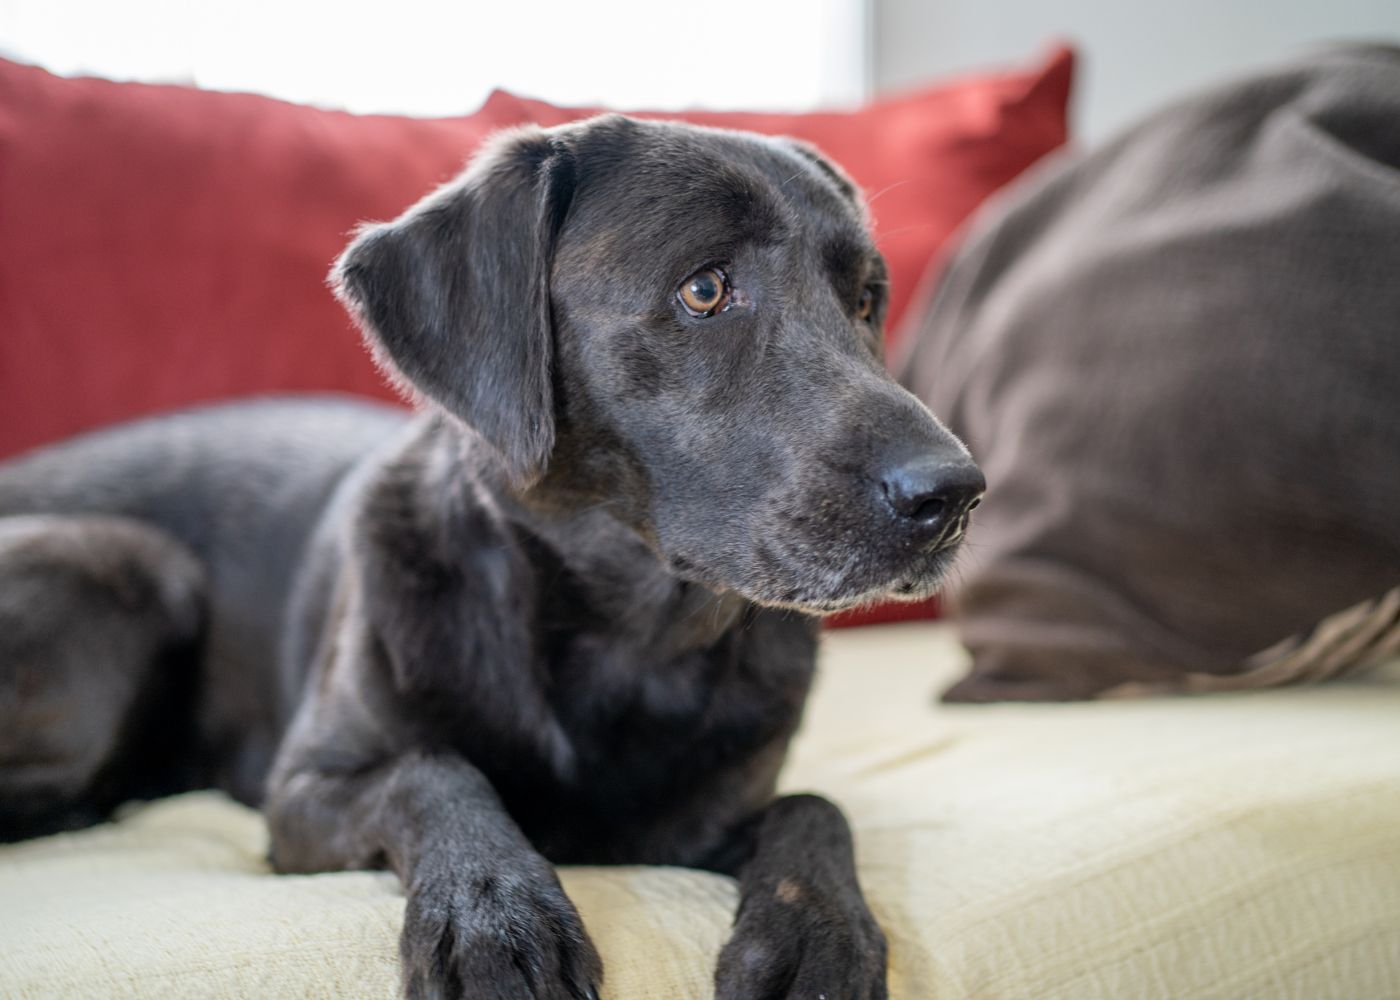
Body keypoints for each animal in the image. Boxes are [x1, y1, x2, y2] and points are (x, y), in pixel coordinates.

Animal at [0, 112, 985, 991]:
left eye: (865, 301)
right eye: (705, 290)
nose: (957, 494)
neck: (624, 640)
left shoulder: (703, 823)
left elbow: (815, 807)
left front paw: (821, 938)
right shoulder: (304, 794)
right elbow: (435, 770)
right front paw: (493, 916)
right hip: (135, 565)